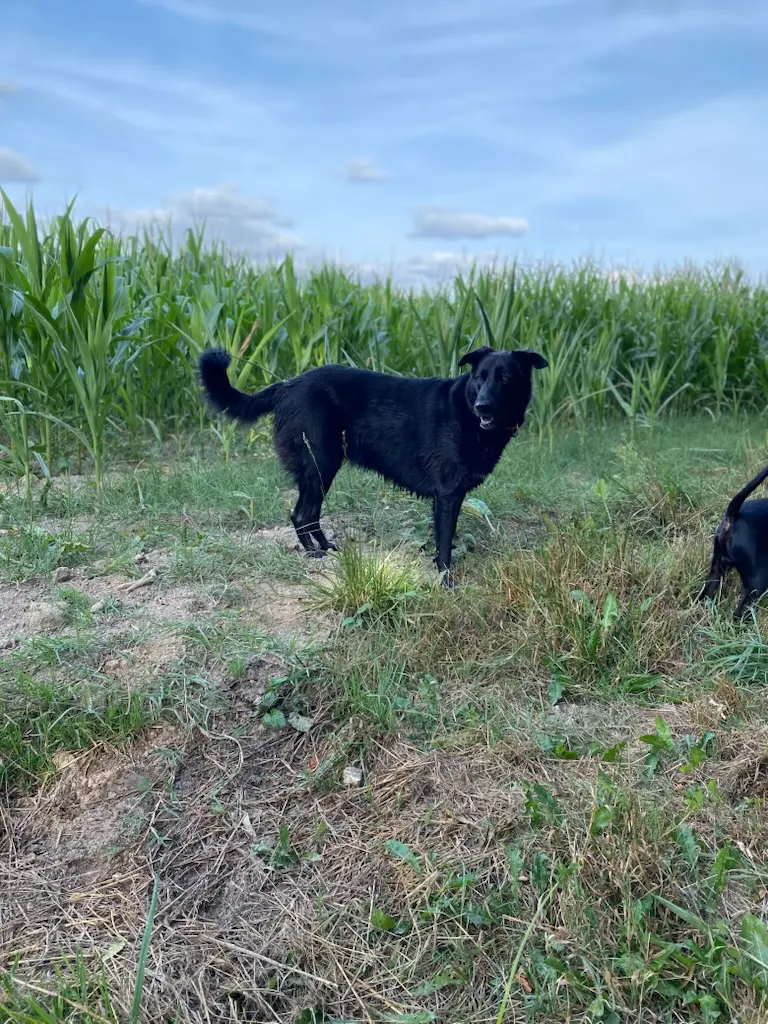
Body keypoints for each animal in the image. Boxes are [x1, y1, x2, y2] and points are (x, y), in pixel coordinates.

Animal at [198, 346, 548, 581]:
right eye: (479, 377)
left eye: (505, 378)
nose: (483, 406)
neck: (465, 410)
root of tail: (288, 385)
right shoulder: (448, 494)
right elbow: (446, 542)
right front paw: (446, 579)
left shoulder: (448, 496)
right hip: (320, 465)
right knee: (301, 514)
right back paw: (313, 553)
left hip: (323, 469)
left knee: (310, 513)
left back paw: (327, 547)